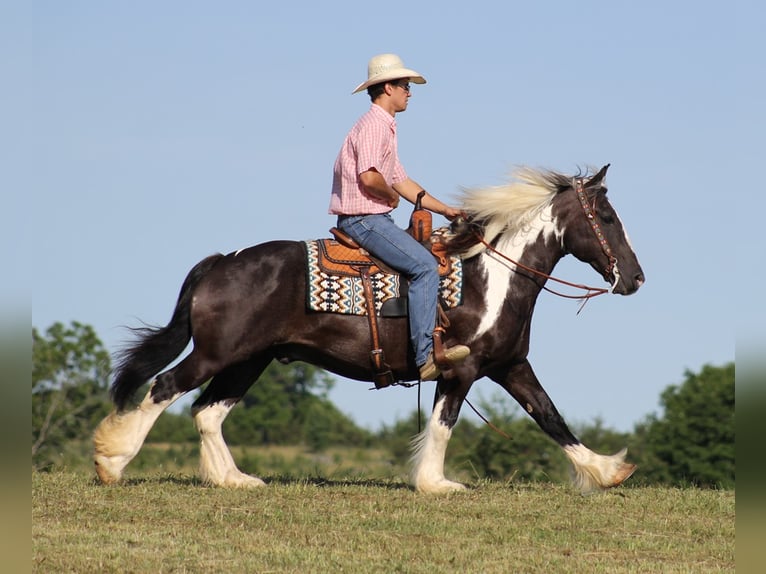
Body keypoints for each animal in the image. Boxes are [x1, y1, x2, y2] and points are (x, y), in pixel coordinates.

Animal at [96, 165, 648, 496]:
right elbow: (443, 424)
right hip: (218, 354)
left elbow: (550, 416)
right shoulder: (462, 369)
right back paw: (113, 462)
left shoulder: (511, 365)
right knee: (166, 387)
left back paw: (233, 478)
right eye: (605, 216)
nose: (635, 278)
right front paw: (435, 484)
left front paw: (607, 470)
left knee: (207, 411)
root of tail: (221, 262)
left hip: (250, 359)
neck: (493, 275)